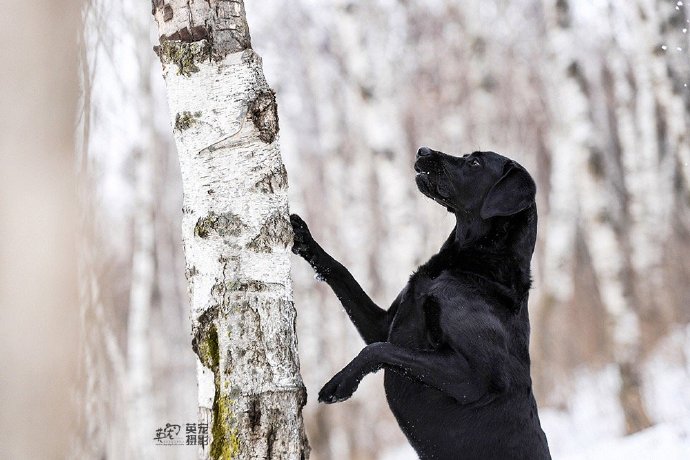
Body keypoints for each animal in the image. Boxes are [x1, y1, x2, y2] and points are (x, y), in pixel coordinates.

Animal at [288, 148, 548, 460]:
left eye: (475, 162)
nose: (423, 150)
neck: (469, 266)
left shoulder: (477, 380)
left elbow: (379, 349)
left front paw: (340, 383)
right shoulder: (384, 324)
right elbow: (342, 273)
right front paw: (305, 239)